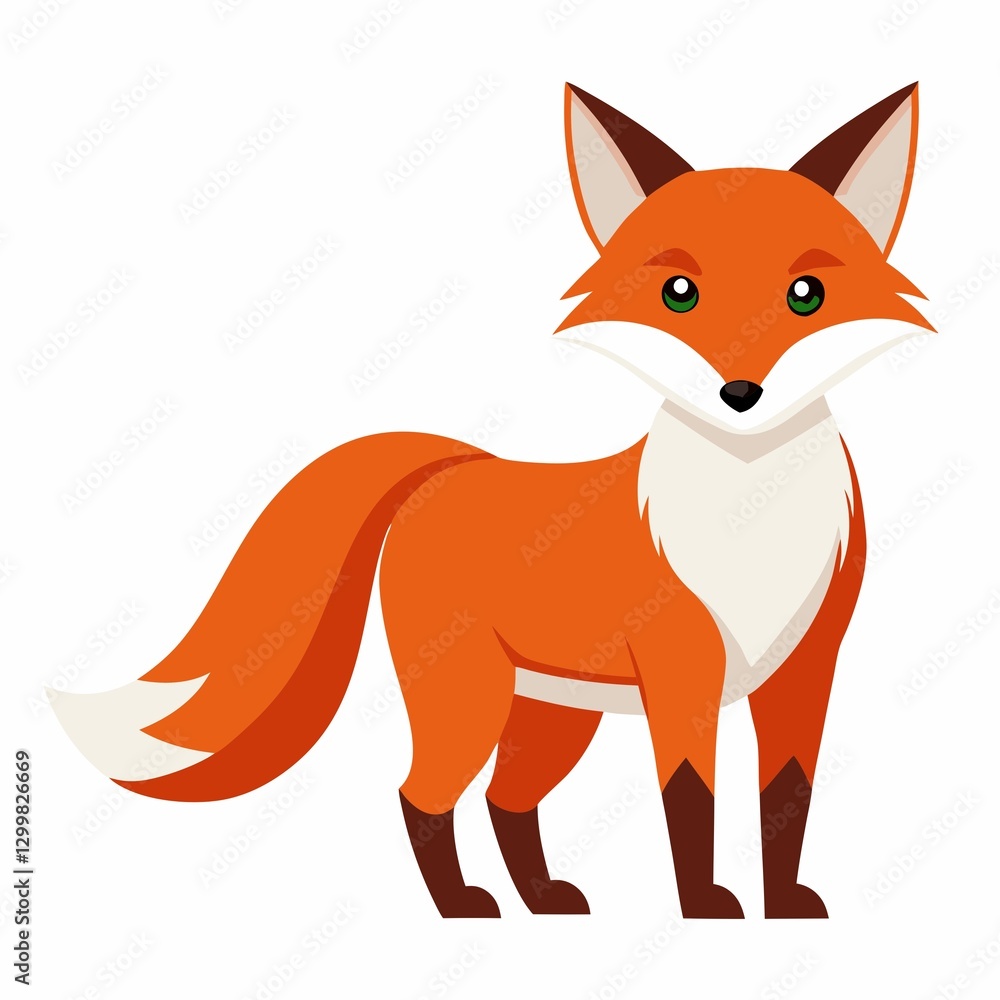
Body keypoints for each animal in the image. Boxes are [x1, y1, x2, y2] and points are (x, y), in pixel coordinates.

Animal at [52, 82, 933, 919]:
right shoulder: (682, 671)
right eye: (679, 293)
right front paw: (707, 910)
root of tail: (450, 467)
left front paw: (782, 908)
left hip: (552, 716)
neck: (752, 521)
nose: (741, 393)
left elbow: (787, 798)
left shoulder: (808, 667)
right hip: (467, 698)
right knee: (422, 794)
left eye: (807, 294)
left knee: (505, 799)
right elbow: (692, 799)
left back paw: (540, 902)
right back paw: (463, 908)